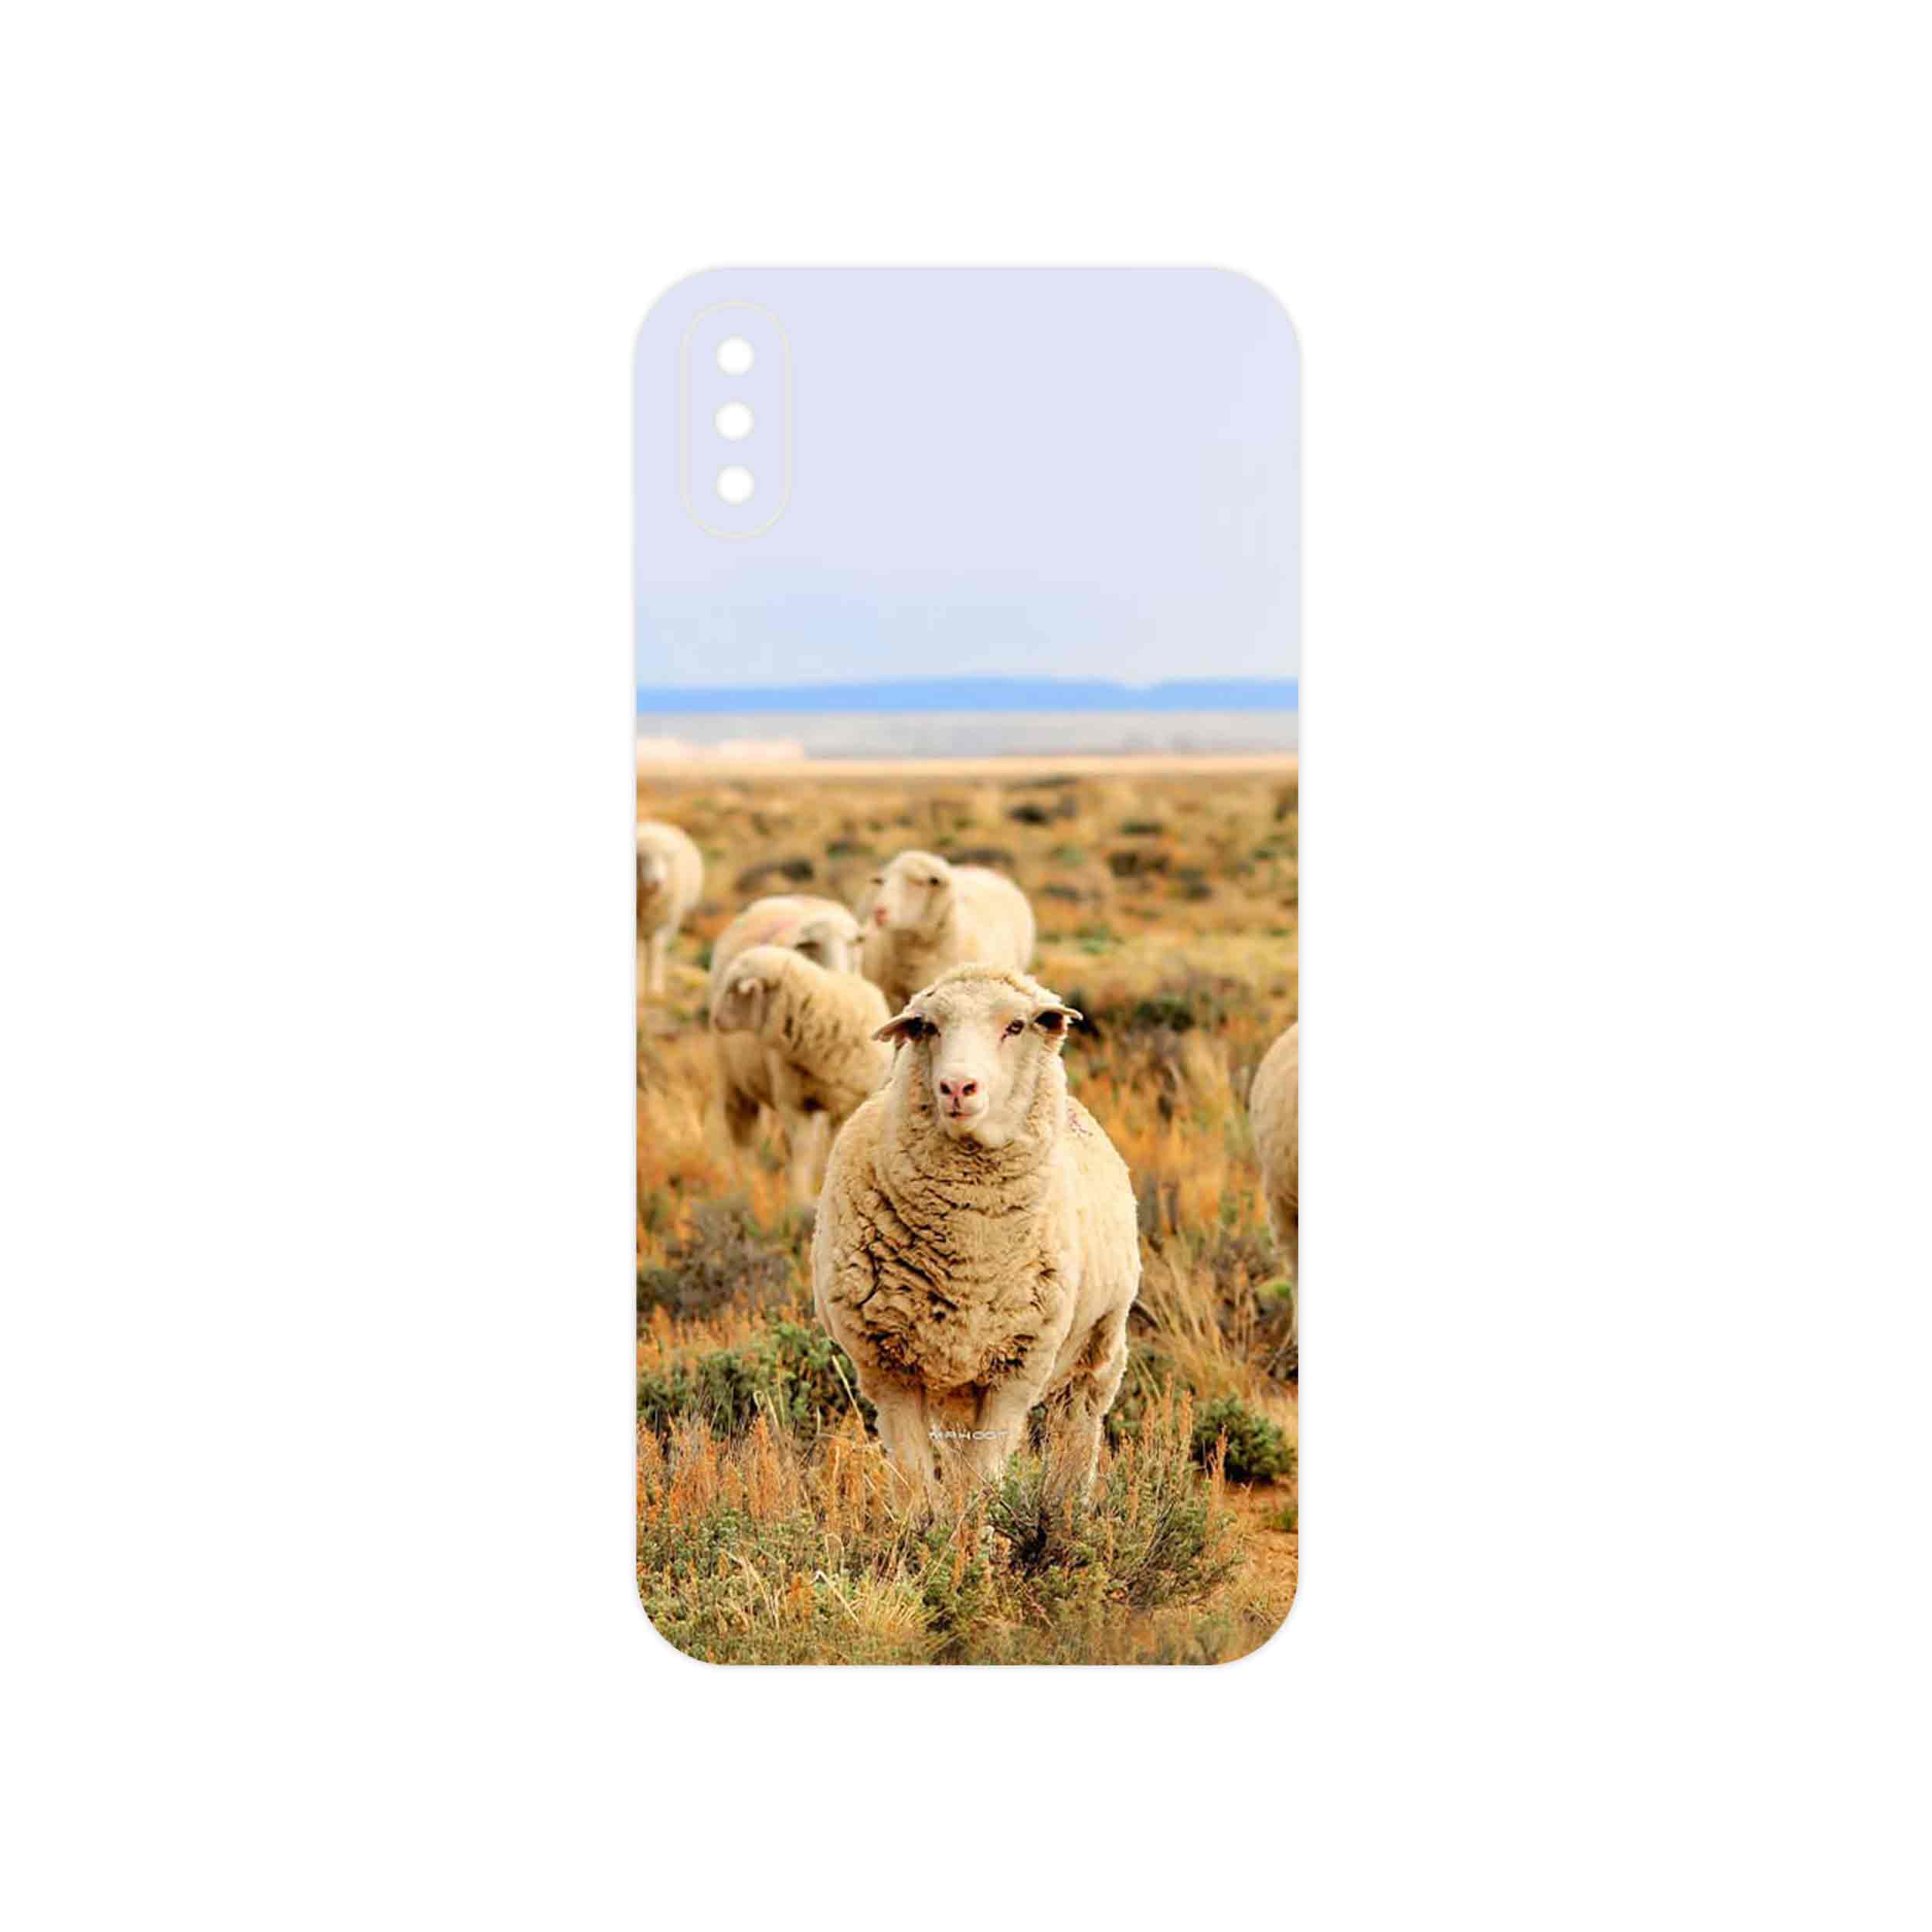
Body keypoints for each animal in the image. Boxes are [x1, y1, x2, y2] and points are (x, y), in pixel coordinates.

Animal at [636, 820, 703, 997]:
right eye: (643, 858)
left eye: (666, 858)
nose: (656, 882)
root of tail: (655, 824)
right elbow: (639, 951)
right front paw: (639, 987)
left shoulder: (665, 922)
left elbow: (656, 950)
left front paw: (655, 988)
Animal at [710, 945, 892, 1203]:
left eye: (735, 990)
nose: (715, 1019)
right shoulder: (794, 1103)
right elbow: (802, 1151)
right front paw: (801, 1197)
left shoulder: (851, 1103)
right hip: (735, 1085)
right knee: (743, 1136)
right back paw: (746, 1184)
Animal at [812, 964, 1140, 1501]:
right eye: (928, 1027)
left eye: (1016, 1026)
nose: (957, 1087)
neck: (970, 1252)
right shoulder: (889, 1369)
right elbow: (916, 1482)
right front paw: (928, 1525)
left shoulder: (1016, 1370)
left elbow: (984, 1481)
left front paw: (981, 1526)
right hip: (957, 1386)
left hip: (1098, 1348)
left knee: (1077, 1429)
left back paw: (1069, 1506)